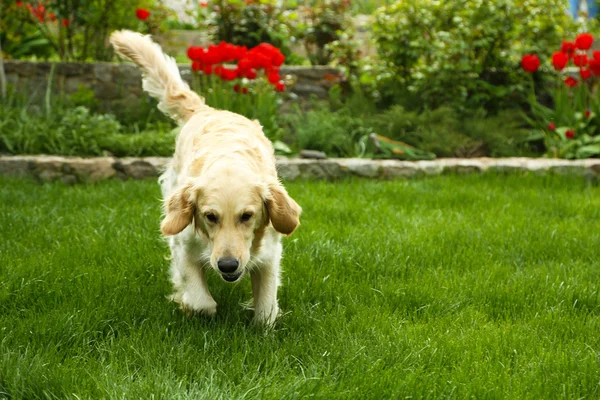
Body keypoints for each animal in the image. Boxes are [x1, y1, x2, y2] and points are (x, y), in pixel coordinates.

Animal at [109, 30, 300, 324]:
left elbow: (266, 308)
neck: (228, 159)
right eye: (210, 216)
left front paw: (262, 319)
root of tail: (208, 110)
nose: (228, 265)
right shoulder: (182, 242)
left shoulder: (270, 252)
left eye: (247, 216)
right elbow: (202, 302)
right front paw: (188, 303)